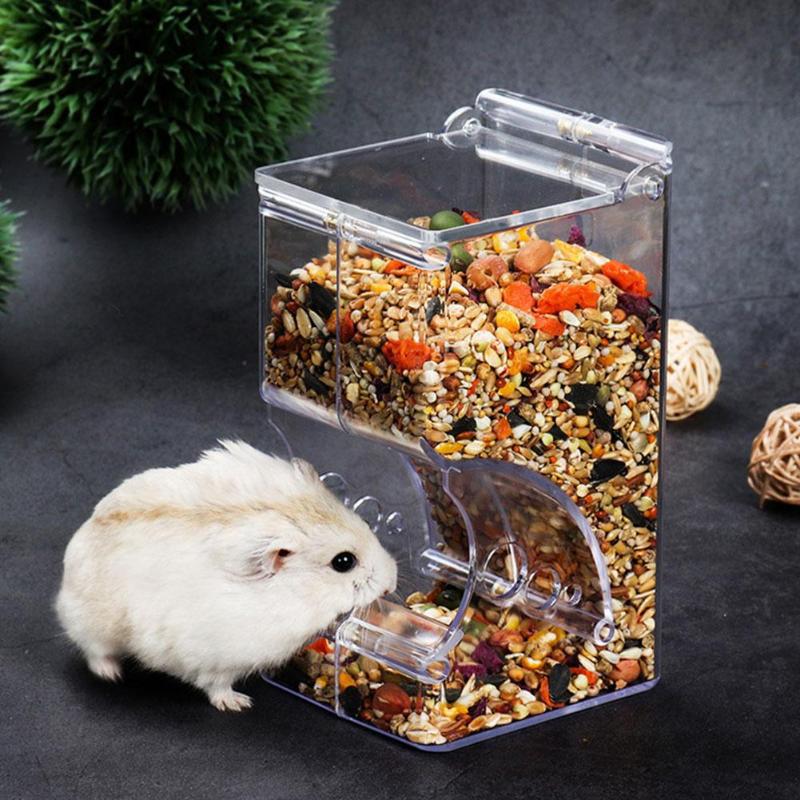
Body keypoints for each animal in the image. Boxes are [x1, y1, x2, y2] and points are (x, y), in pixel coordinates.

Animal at [56, 440, 397, 711]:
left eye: (366, 524)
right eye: (343, 562)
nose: (392, 582)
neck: (294, 594)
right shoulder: (217, 658)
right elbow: (216, 685)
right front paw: (239, 704)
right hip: (93, 624)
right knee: (92, 649)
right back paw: (111, 673)